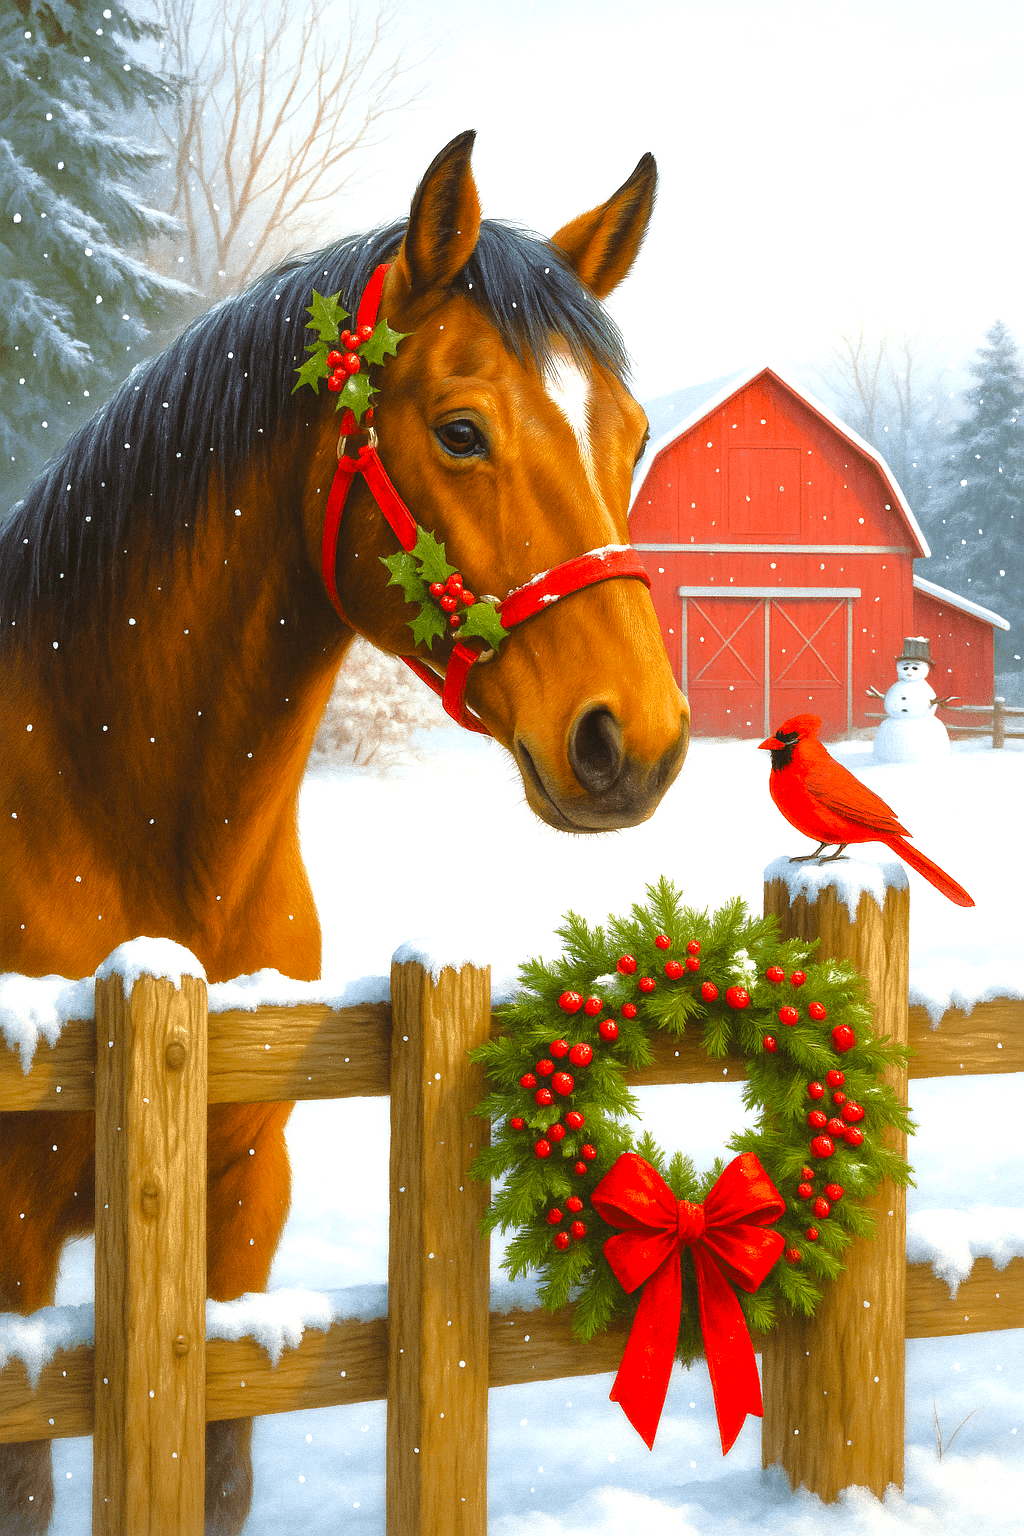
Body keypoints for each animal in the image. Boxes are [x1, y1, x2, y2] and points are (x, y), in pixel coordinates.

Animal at [0, 130, 688, 1533]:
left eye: (632, 435)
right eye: (460, 430)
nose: (632, 740)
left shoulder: (242, 1198)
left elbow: (215, 1466)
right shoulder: (12, 1235)